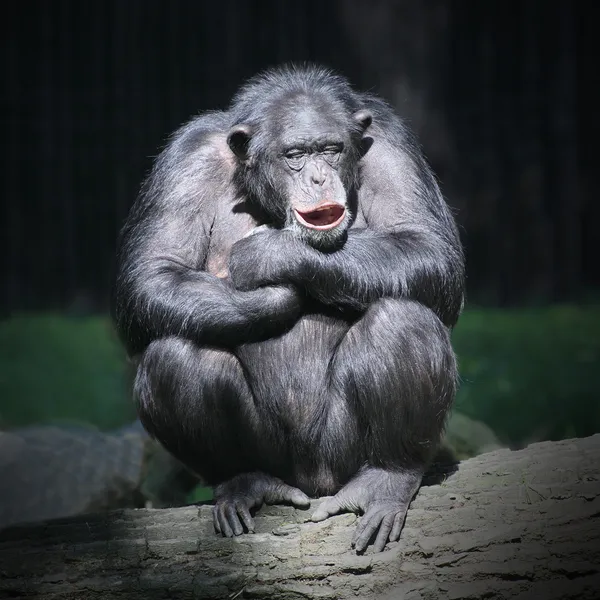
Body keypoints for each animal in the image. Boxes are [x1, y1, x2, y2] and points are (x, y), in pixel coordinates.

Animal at [113, 65, 468, 552]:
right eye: (295, 155)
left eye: (332, 150)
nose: (318, 177)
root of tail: (311, 480)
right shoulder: (185, 160)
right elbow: (153, 272)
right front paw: (272, 295)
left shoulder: (392, 142)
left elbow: (426, 244)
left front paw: (269, 255)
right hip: (275, 456)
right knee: (175, 354)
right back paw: (243, 481)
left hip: (339, 453)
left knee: (403, 320)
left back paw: (386, 478)